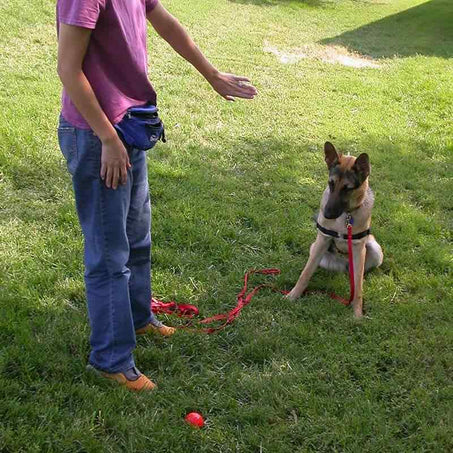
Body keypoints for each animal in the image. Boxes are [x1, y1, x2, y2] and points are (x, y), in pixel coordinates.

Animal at [286, 142, 382, 318]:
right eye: (331, 183)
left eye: (347, 188)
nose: (327, 215)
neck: (347, 215)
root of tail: (344, 264)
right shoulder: (322, 240)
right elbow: (306, 273)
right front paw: (292, 296)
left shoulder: (358, 248)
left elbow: (358, 288)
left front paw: (357, 314)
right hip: (315, 249)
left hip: (375, 250)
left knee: (358, 276)